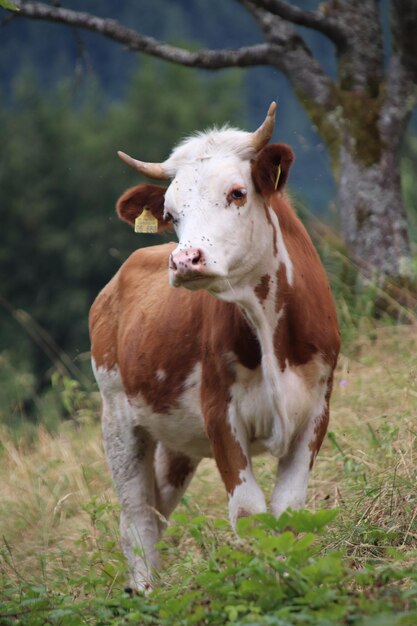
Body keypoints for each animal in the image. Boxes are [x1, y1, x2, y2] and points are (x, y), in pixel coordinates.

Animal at [89, 102, 340, 588]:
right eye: (170, 214)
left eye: (238, 193)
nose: (185, 260)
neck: (269, 329)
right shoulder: (220, 413)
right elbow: (249, 513)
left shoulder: (317, 407)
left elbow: (288, 511)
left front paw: (290, 577)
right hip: (117, 415)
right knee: (137, 519)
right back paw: (146, 593)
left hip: (176, 443)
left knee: (156, 511)